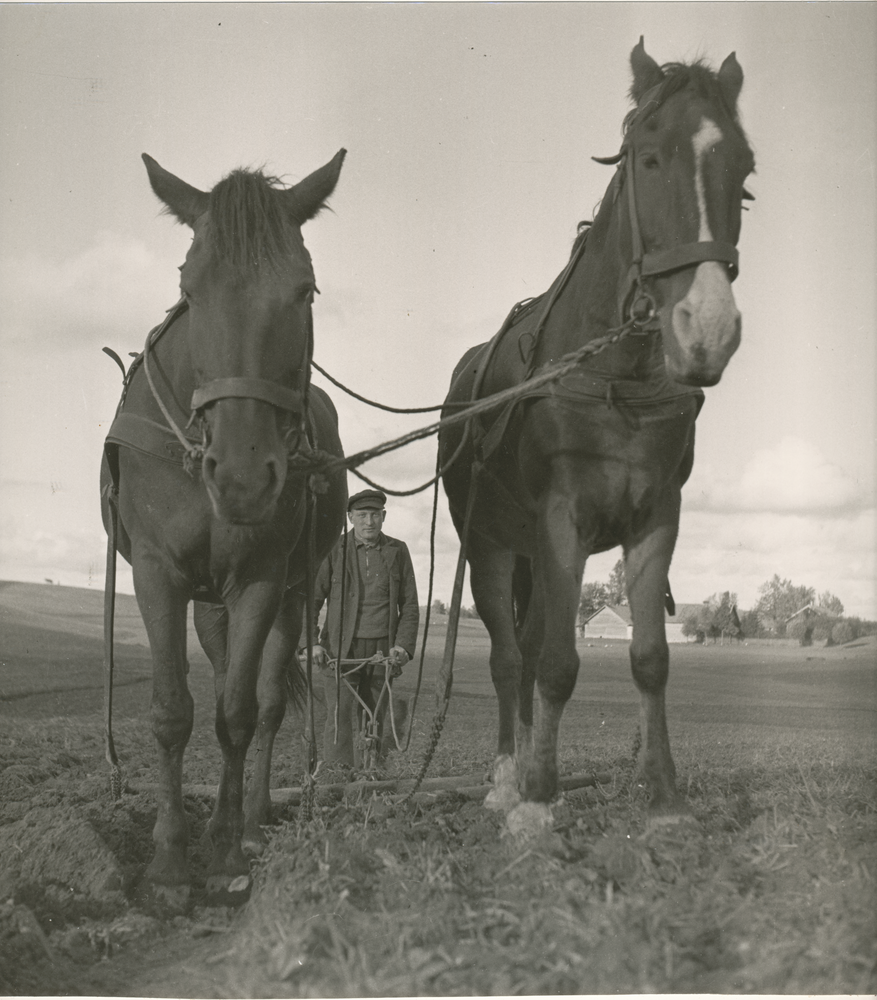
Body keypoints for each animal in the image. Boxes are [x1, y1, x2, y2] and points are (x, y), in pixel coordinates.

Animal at [101, 150, 348, 908]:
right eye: (190, 286)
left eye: (304, 289)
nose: (240, 476)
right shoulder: (157, 574)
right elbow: (173, 712)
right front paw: (168, 861)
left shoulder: (263, 580)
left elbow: (238, 713)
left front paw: (224, 850)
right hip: (209, 604)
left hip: (294, 596)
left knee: (264, 705)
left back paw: (252, 818)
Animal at [442, 41, 756, 836]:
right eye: (648, 157)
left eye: (742, 173)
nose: (708, 328)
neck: (615, 372)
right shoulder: (563, 521)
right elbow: (554, 663)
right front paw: (534, 803)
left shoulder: (655, 519)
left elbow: (649, 657)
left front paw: (665, 799)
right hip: (492, 544)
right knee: (509, 657)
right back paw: (507, 778)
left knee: (524, 647)